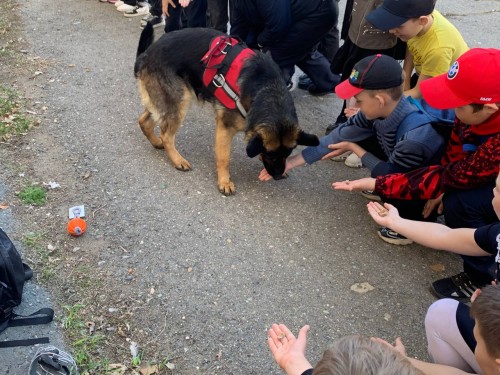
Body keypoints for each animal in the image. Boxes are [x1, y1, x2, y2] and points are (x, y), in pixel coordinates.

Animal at [135, 25, 318, 197]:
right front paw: (224, 181)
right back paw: (177, 159)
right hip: (179, 102)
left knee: (144, 120)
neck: (268, 89)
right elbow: (224, 157)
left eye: (287, 154)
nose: (278, 177)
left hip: (164, 101)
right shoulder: (225, 127)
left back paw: (156, 142)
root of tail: (147, 53)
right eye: (271, 155)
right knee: (166, 135)